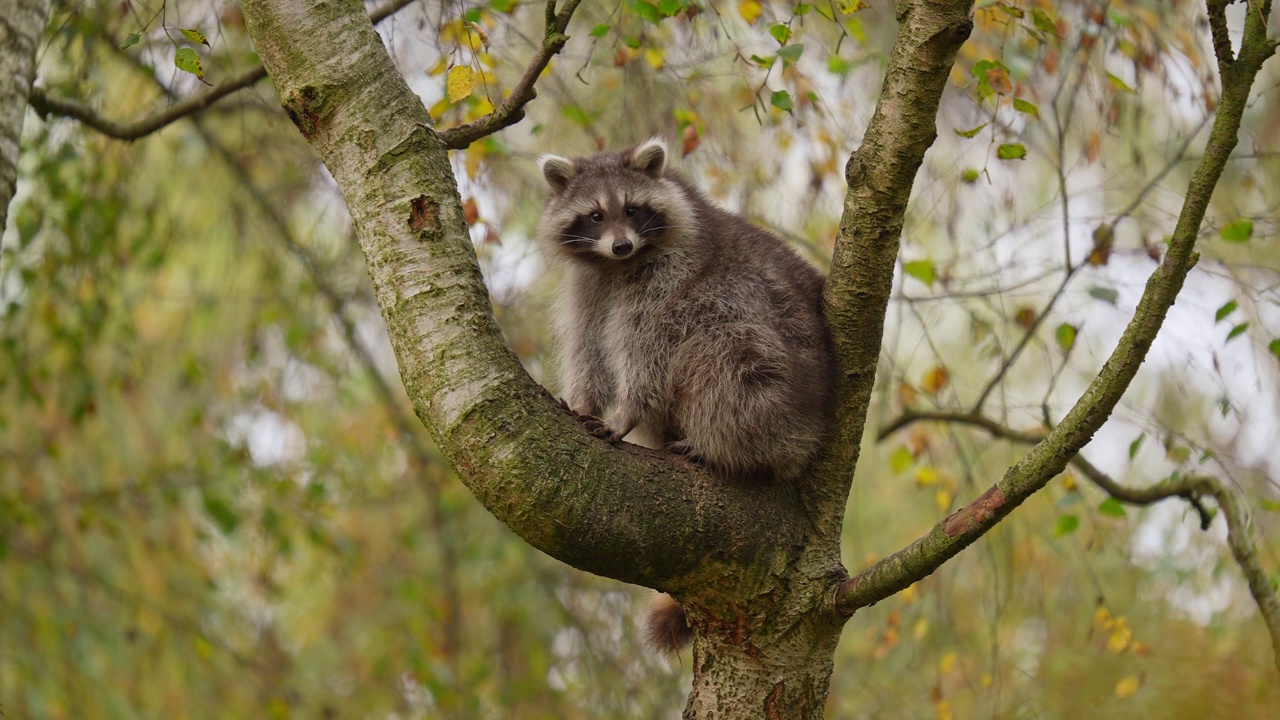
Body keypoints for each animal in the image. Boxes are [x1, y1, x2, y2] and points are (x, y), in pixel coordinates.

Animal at [535, 139, 834, 650]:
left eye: (632, 210)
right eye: (595, 215)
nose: (621, 244)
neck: (617, 266)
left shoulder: (672, 279)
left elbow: (650, 348)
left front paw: (625, 413)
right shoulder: (591, 284)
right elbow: (589, 344)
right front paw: (583, 399)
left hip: (778, 384)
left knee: (721, 359)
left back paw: (724, 448)